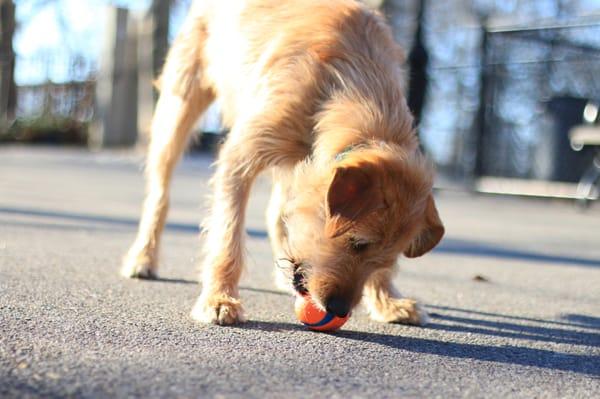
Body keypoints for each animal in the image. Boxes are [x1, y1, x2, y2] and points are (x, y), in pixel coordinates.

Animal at [122, 0, 442, 326]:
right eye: (357, 243)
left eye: (385, 260)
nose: (339, 309)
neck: (348, 87)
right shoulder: (239, 158)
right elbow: (227, 234)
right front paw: (219, 299)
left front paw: (388, 300)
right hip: (178, 110)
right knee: (159, 195)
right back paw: (143, 257)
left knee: (276, 211)